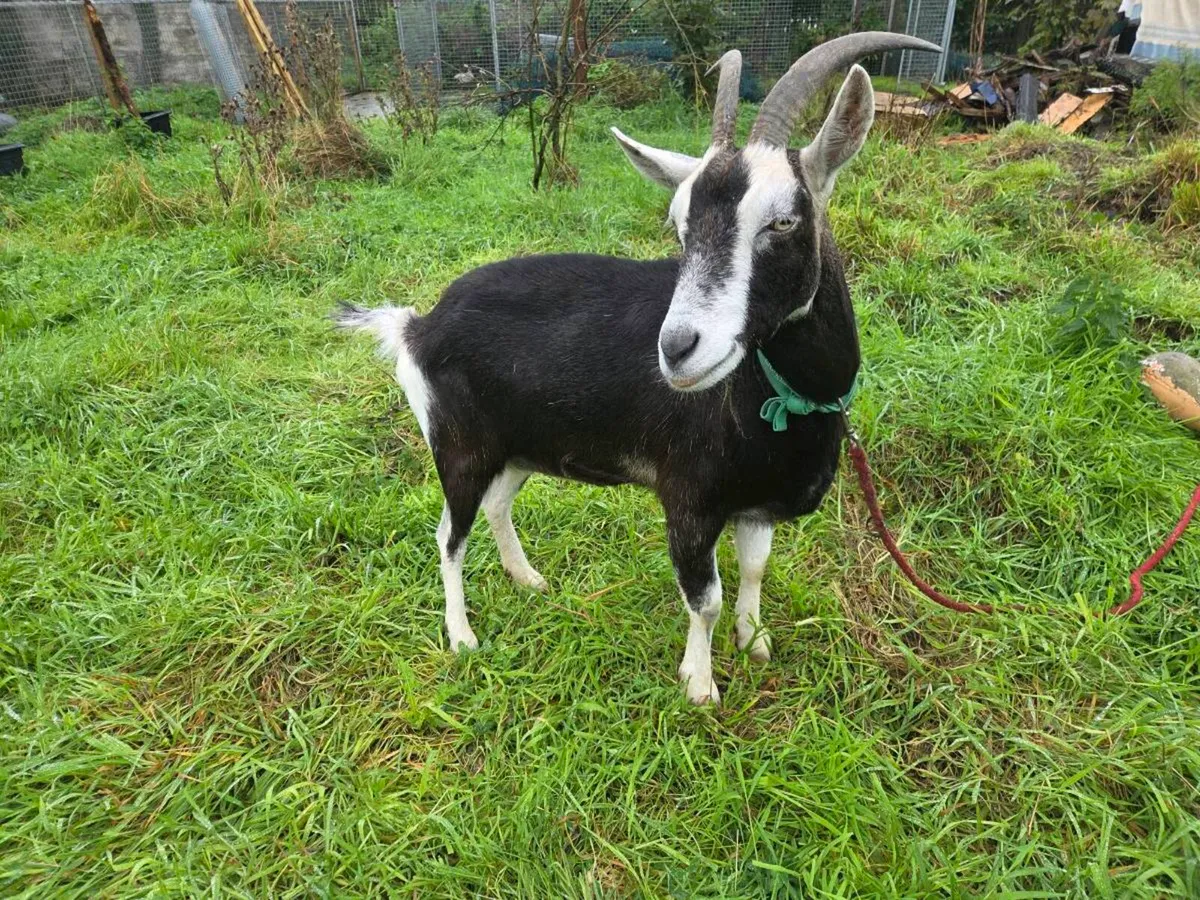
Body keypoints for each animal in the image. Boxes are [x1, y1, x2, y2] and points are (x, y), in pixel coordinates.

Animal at [336, 33, 940, 704]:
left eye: (784, 220)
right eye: (679, 227)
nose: (676, 348)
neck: (785, 399)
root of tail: (418, 325)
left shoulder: (755, 503)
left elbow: (755, 569)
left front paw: (754, 642)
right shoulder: (689, 498)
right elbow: (705, 598)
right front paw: (699, 684)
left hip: (519, 446)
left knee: (496, 506)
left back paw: (528, 579)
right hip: (458, 444)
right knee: (449, 533)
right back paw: (462, 636)